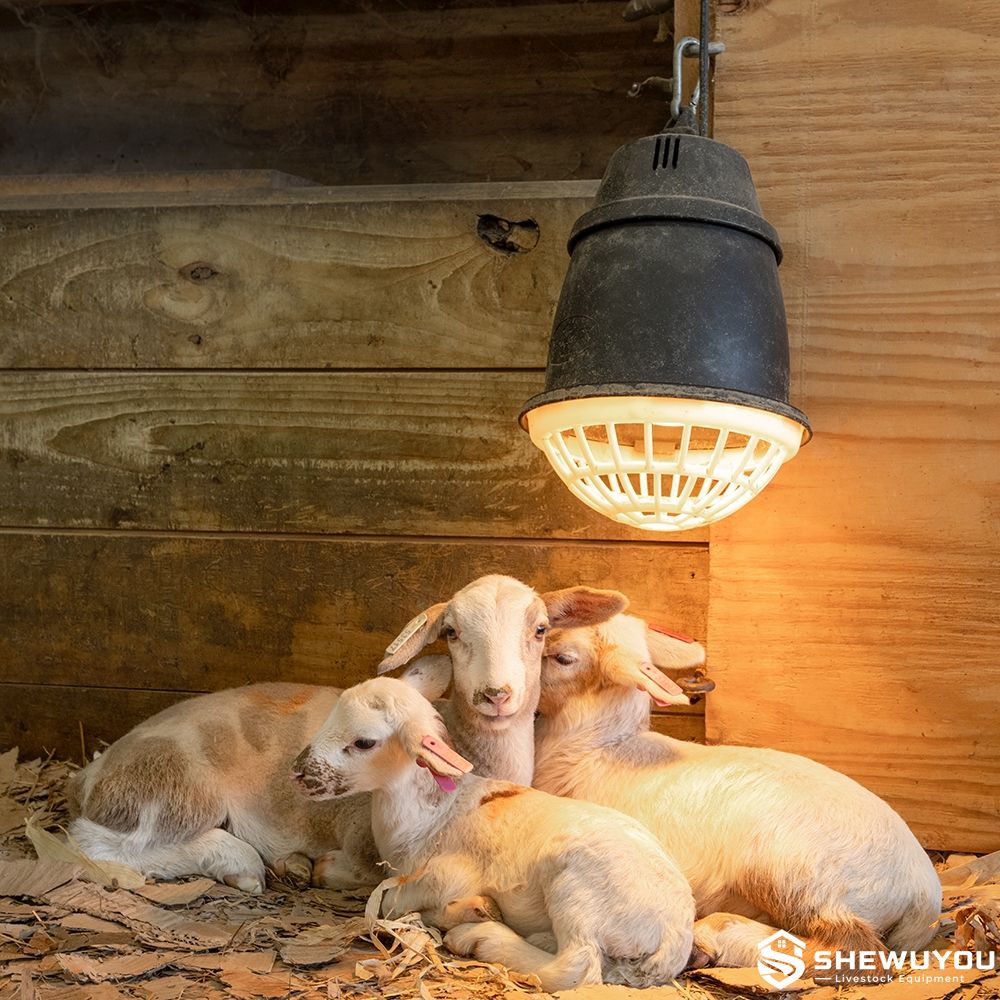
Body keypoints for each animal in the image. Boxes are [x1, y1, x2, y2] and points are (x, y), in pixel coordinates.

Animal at [67, 574, 625, 893]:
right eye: (451, 632)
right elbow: (358, 870)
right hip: (171, 792)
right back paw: (242, 863)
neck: (468, 754)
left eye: (540, 630)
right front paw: (317, 869)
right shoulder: (365, 837)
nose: (495, 694)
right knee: (97, 844)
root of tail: (94, 771)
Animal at [292, 675, 696, 991]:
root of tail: (676, 934)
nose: (296, 771)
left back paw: (480, 938)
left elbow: (393, 903)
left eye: (364, 742)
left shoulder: (447, 873)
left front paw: (470, 911)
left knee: (578, 966)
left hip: (578, 886)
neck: (428, 818)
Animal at [533, 614, 942, 968]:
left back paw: (713, 937)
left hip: (792, 870)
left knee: (850, 946)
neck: (598, 749)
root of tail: (925, 895)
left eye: (563, 657)